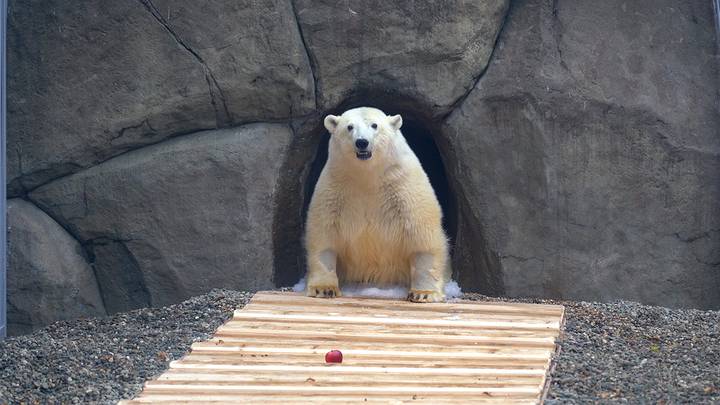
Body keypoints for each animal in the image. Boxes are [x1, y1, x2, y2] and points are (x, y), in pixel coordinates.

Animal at [304, 105, 450, 302]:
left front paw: (424, 293)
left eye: (374, 125)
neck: (368, 177)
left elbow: (422, 236)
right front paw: (324, 289)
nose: (362, 142)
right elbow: (324, 235)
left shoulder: (404, 187)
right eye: (349, 127)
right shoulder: (334, 189)